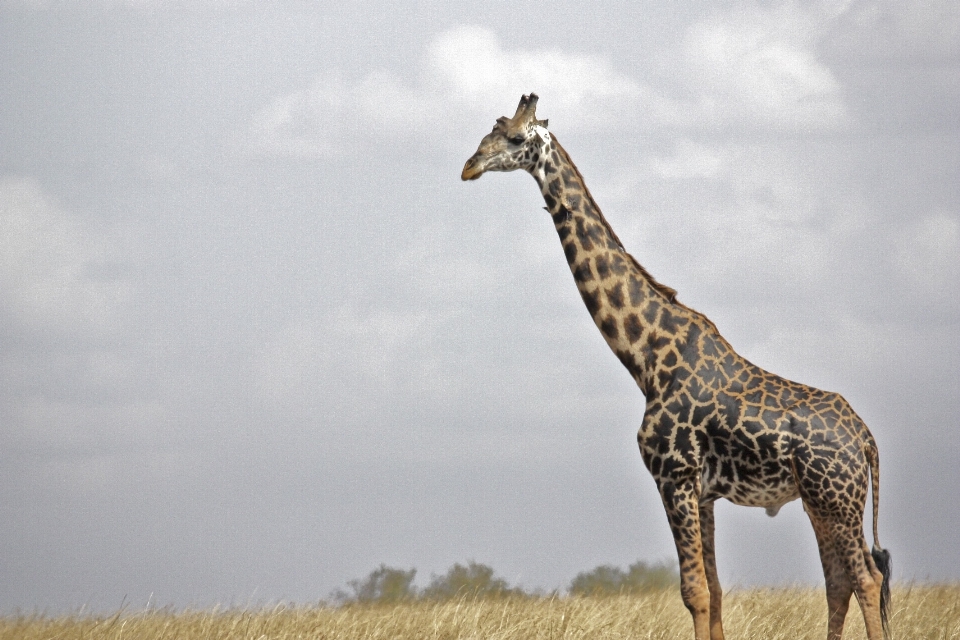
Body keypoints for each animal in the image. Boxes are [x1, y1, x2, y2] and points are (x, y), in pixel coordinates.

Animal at [462, 95, 888, 640]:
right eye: (490, 131)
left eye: (515, 138)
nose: (469, 166)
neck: (645, 358)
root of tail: (866, 440)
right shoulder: (702, 493)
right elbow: (716, 592)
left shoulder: (674, 476)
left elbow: (694, 592)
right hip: (822, 500)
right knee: (839, 581)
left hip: (836, 496)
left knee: (867, 578)